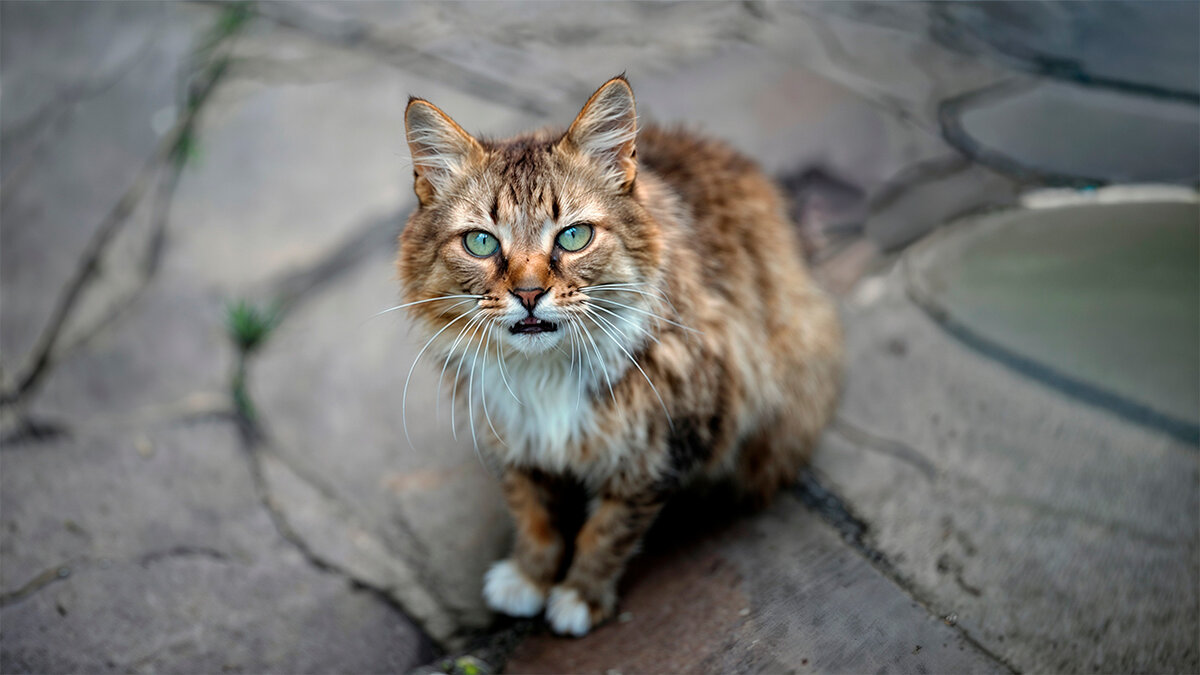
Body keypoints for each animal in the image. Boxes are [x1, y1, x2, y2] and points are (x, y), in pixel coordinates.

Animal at [396, 76, 844, 634]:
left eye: (574, 236)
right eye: (481, 242)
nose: (528, 293)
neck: (545, 373)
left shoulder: (659, 449)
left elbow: (606, 532)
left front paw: (579, 597)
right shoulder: (513, 436)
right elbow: (534, 515)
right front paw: (529, 578)